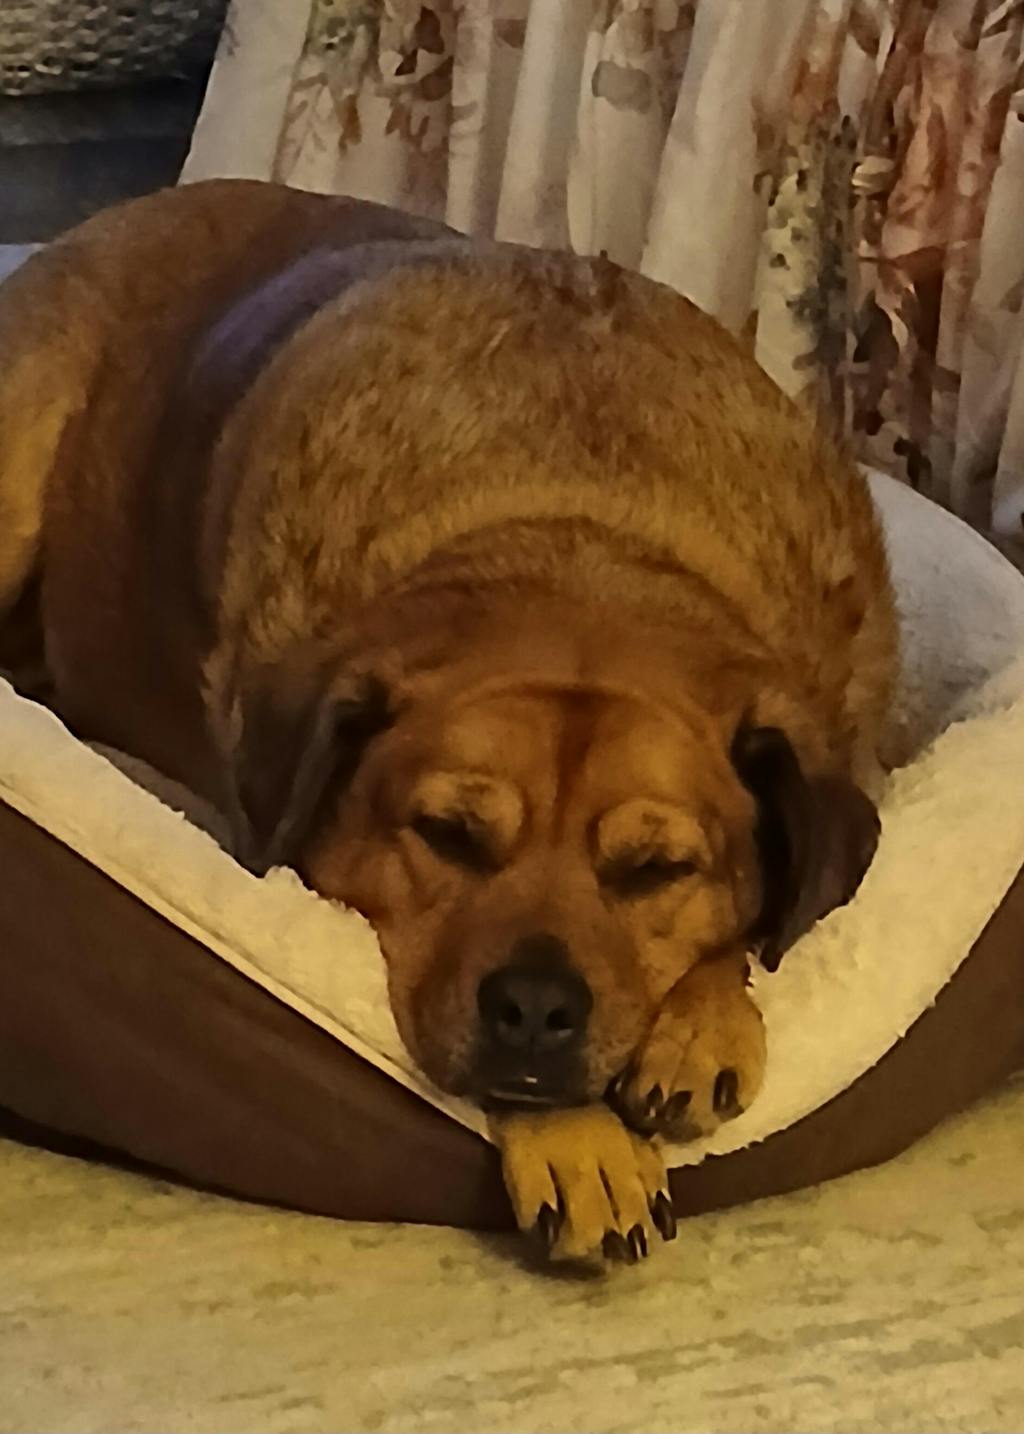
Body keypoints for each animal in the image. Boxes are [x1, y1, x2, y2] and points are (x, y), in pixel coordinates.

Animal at [0, 180, 898, 1263]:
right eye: (447, 836)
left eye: (655, 870)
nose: (535, 1008)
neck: (583, 526)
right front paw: (580, 1142)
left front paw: (702, 1023)